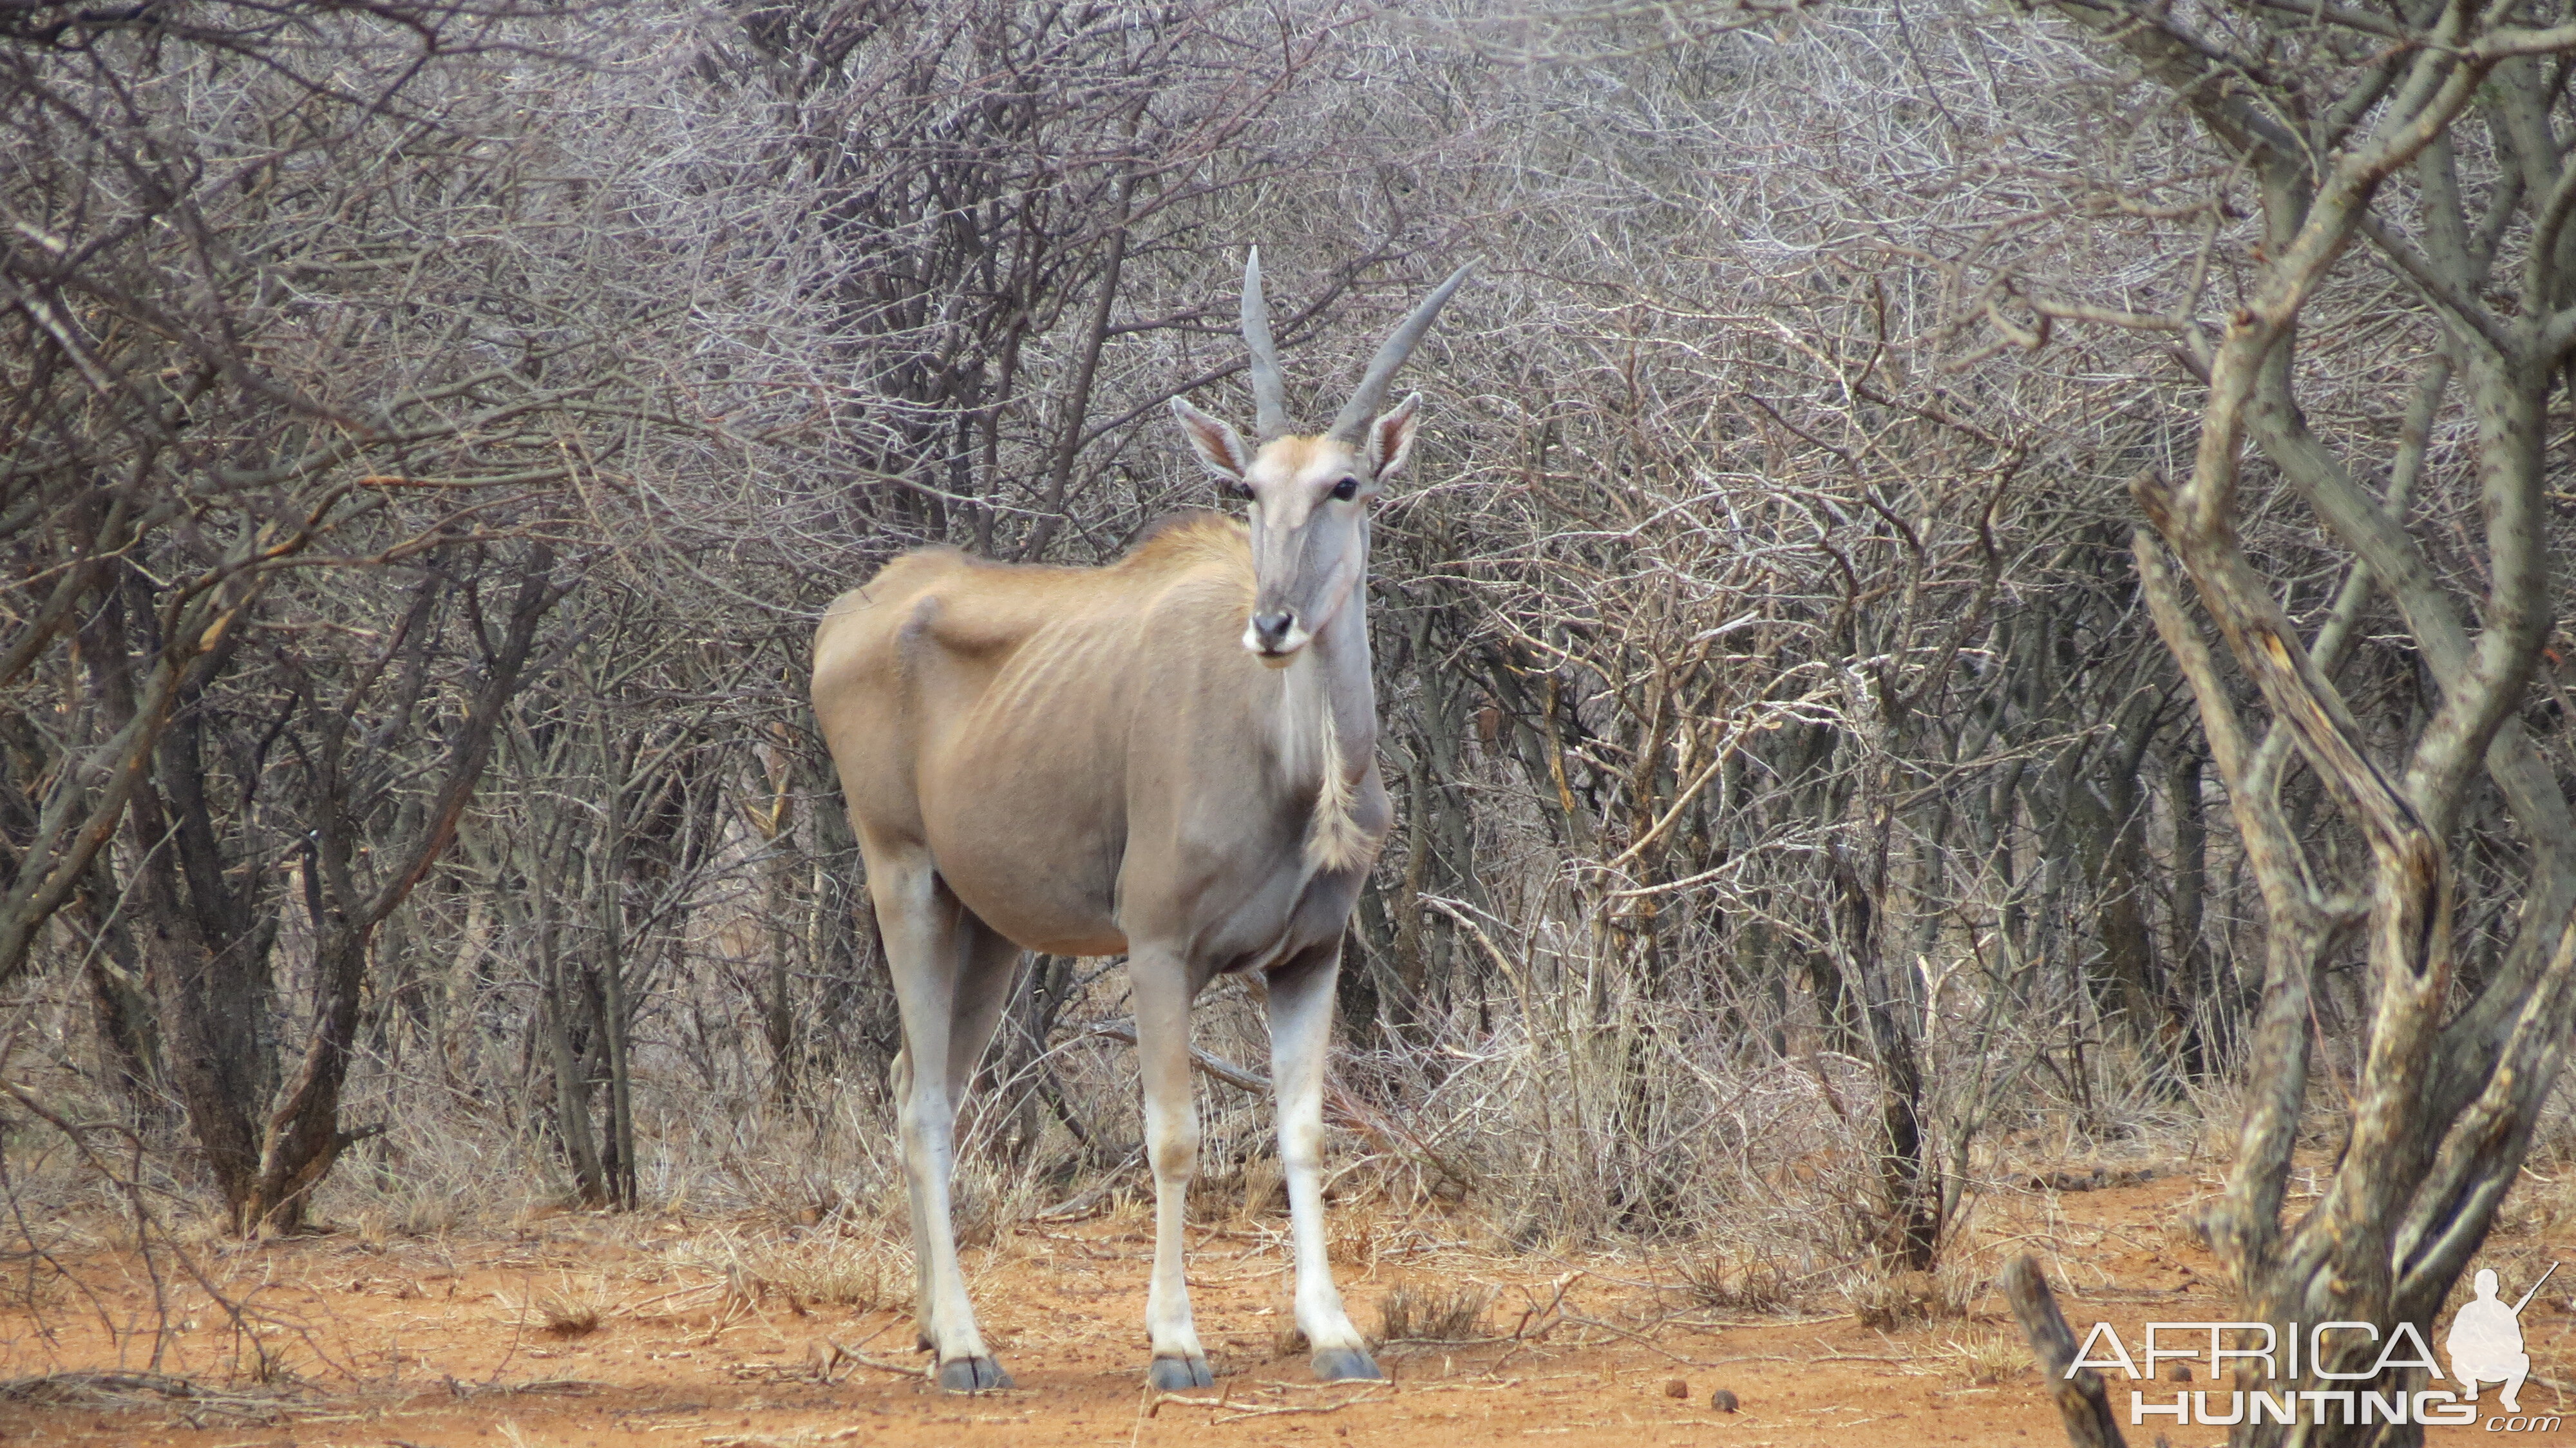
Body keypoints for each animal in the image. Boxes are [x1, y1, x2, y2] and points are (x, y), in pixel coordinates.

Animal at [814, 251, 1484, 1391]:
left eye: (1344, 485)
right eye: (1249, 490)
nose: (1272, 623)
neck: (1295, 768)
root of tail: (851, 614)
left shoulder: (1309, 959)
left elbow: (1304, 1133)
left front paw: (1335, 1332)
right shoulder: (1160, 946)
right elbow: (1173, 1137)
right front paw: (1174, 1342)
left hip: (987, 930)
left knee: (920, 1079)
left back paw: (932, 1325)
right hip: (902, 879)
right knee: (926, 1105)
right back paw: (967, 1348)